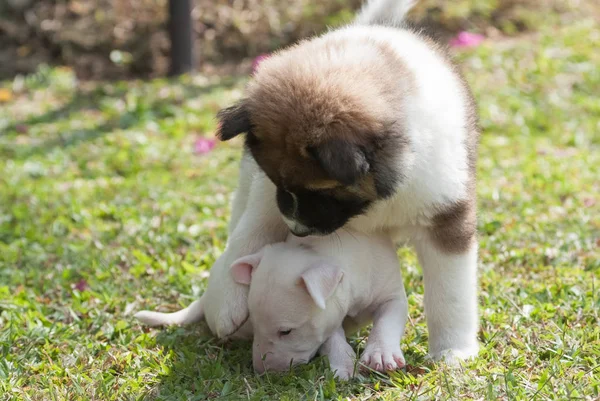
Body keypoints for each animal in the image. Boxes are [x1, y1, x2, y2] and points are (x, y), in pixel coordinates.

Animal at [135, 228, 408, 378]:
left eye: (286, 331)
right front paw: (342, 364)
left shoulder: (390, 292)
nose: (260, 372)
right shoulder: (328, 319)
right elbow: (332, 336)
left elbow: (388, 320)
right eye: (254, 322)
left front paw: (381, 355)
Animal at [204, 0, 480, 362]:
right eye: (279, 181)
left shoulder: (445, 213)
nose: (297, 231)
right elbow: (250, 234)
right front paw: (225, 299)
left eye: (321, 192)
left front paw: (452, 350)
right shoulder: (267, 195)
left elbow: (450, 292)